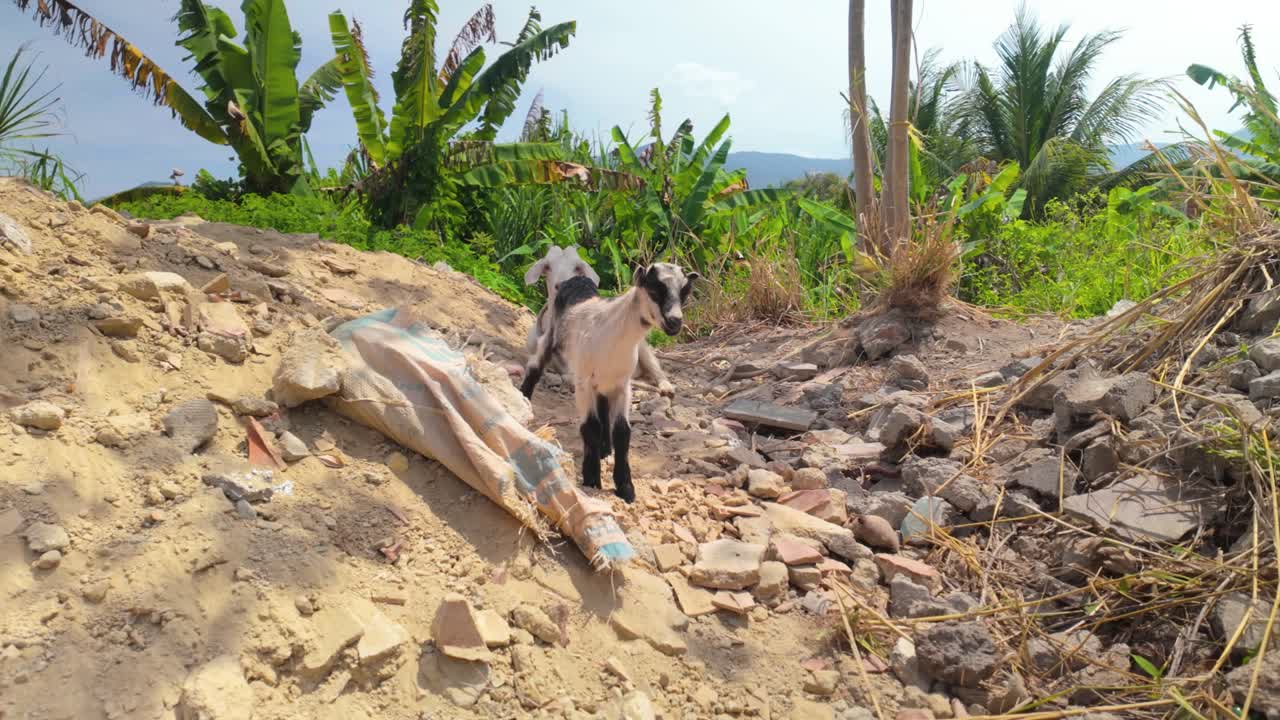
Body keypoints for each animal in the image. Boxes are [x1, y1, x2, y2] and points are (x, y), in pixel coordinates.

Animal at [520, 263, 699, 502]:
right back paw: (523, 400)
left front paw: (625, 486)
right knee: (534, 366)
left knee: (603, 406)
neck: (616, 333)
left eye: (684, 293)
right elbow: (591, 426)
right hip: (552, 335)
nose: (675, 322)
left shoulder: (622, 386)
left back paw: (605, 449)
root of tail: (574, 280)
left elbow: (622, 432)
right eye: (654, 290)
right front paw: (592, 477)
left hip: (605, 381)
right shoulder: (583, 382)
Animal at [524, 245, 676, 397]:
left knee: (654, 367)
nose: (560, 285)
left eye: (577, 267)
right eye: (547, 267)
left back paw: (666, 387)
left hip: (641, 347)